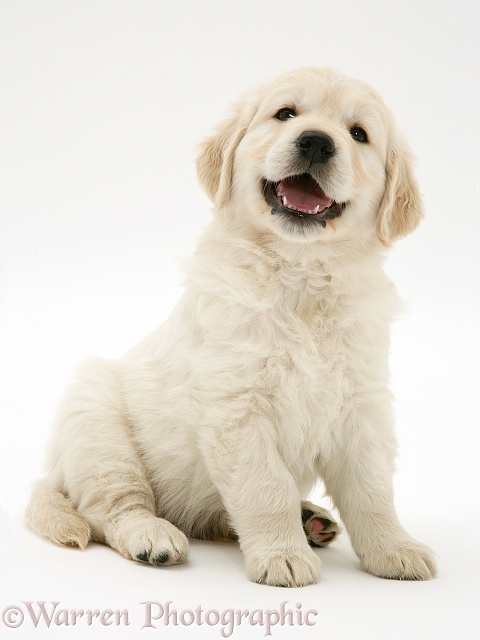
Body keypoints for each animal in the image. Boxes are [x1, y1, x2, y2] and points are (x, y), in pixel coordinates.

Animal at [28, 69, 436, 584]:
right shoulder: (237, 407)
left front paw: (394, 548)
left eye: (359, 133)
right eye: (286, 113)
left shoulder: (362, 405)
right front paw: (282, 555)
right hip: (97, 424)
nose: (317, 141)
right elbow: (265, 487)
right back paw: (152, 535)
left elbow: (373, 488)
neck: (300, 278)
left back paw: (312, 519)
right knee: (109, 508)